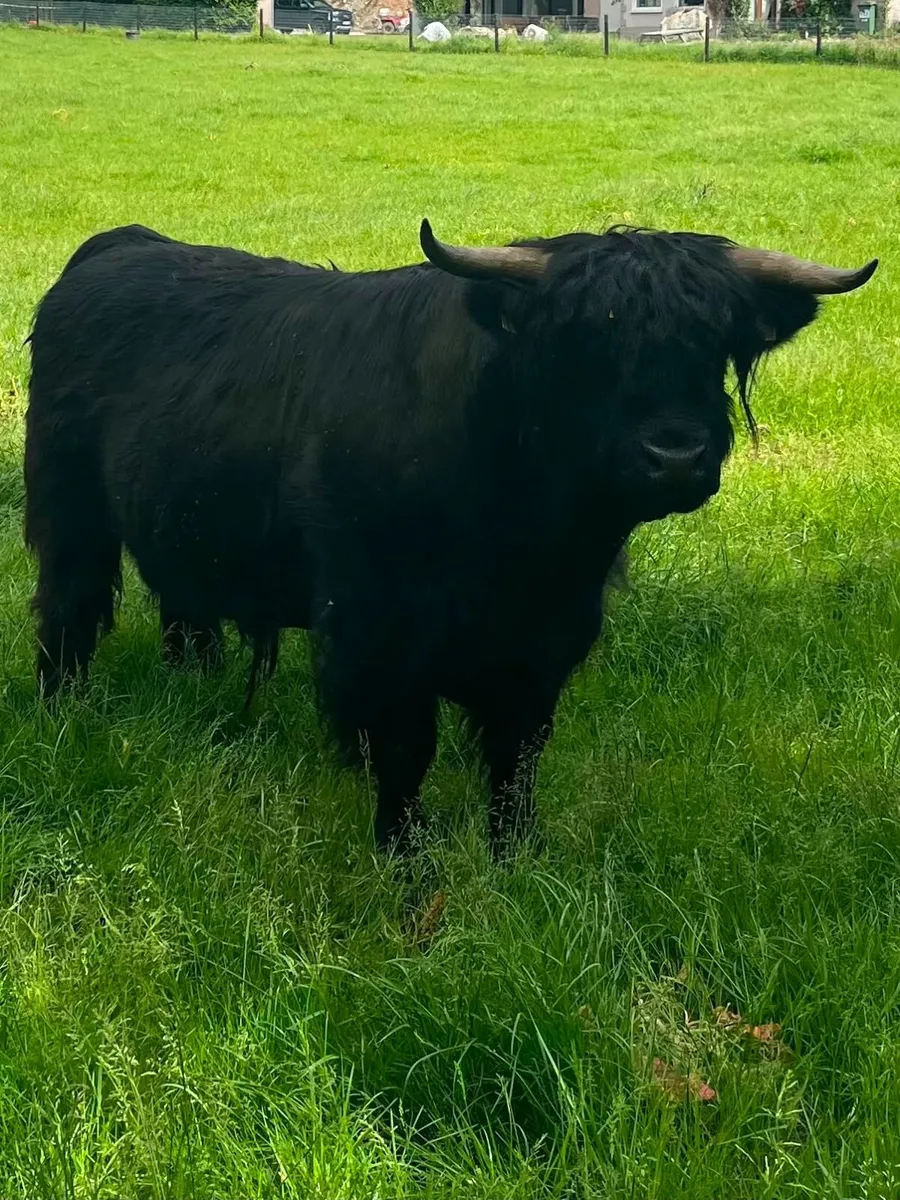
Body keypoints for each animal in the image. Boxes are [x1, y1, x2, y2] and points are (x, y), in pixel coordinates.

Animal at [23, 220, 876, 854]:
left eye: (713, 344)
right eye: (584, 346)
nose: (674, 455)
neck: (529, 543)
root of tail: (120, 245)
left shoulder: (548, 639)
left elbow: (517, 754)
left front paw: (517, 856)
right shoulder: (377, 632)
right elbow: (405, 754)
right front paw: (405, 862)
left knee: (182, 608)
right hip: (68, 514)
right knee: (67, 611)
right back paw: (63, 719)